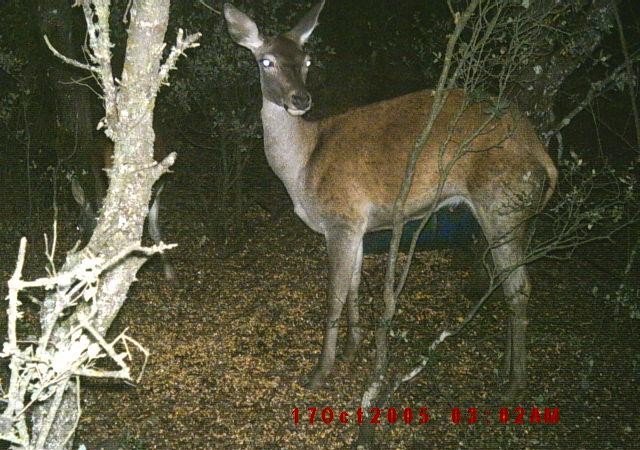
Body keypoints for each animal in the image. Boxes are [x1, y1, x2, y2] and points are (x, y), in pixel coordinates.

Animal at [225, 1, 556, 396]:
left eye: (307, 61)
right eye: (267, 61)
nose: (300, 99)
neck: (303, 168)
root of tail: (541, 153)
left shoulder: (340, 218)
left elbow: (334, 296)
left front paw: (320, 372)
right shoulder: (357, 225)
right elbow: (353, 285)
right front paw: (352, 349)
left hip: (501, 202)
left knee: (518, 287)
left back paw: (515, 383)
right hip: (519, 213)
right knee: (508, 282)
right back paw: (505, 369)